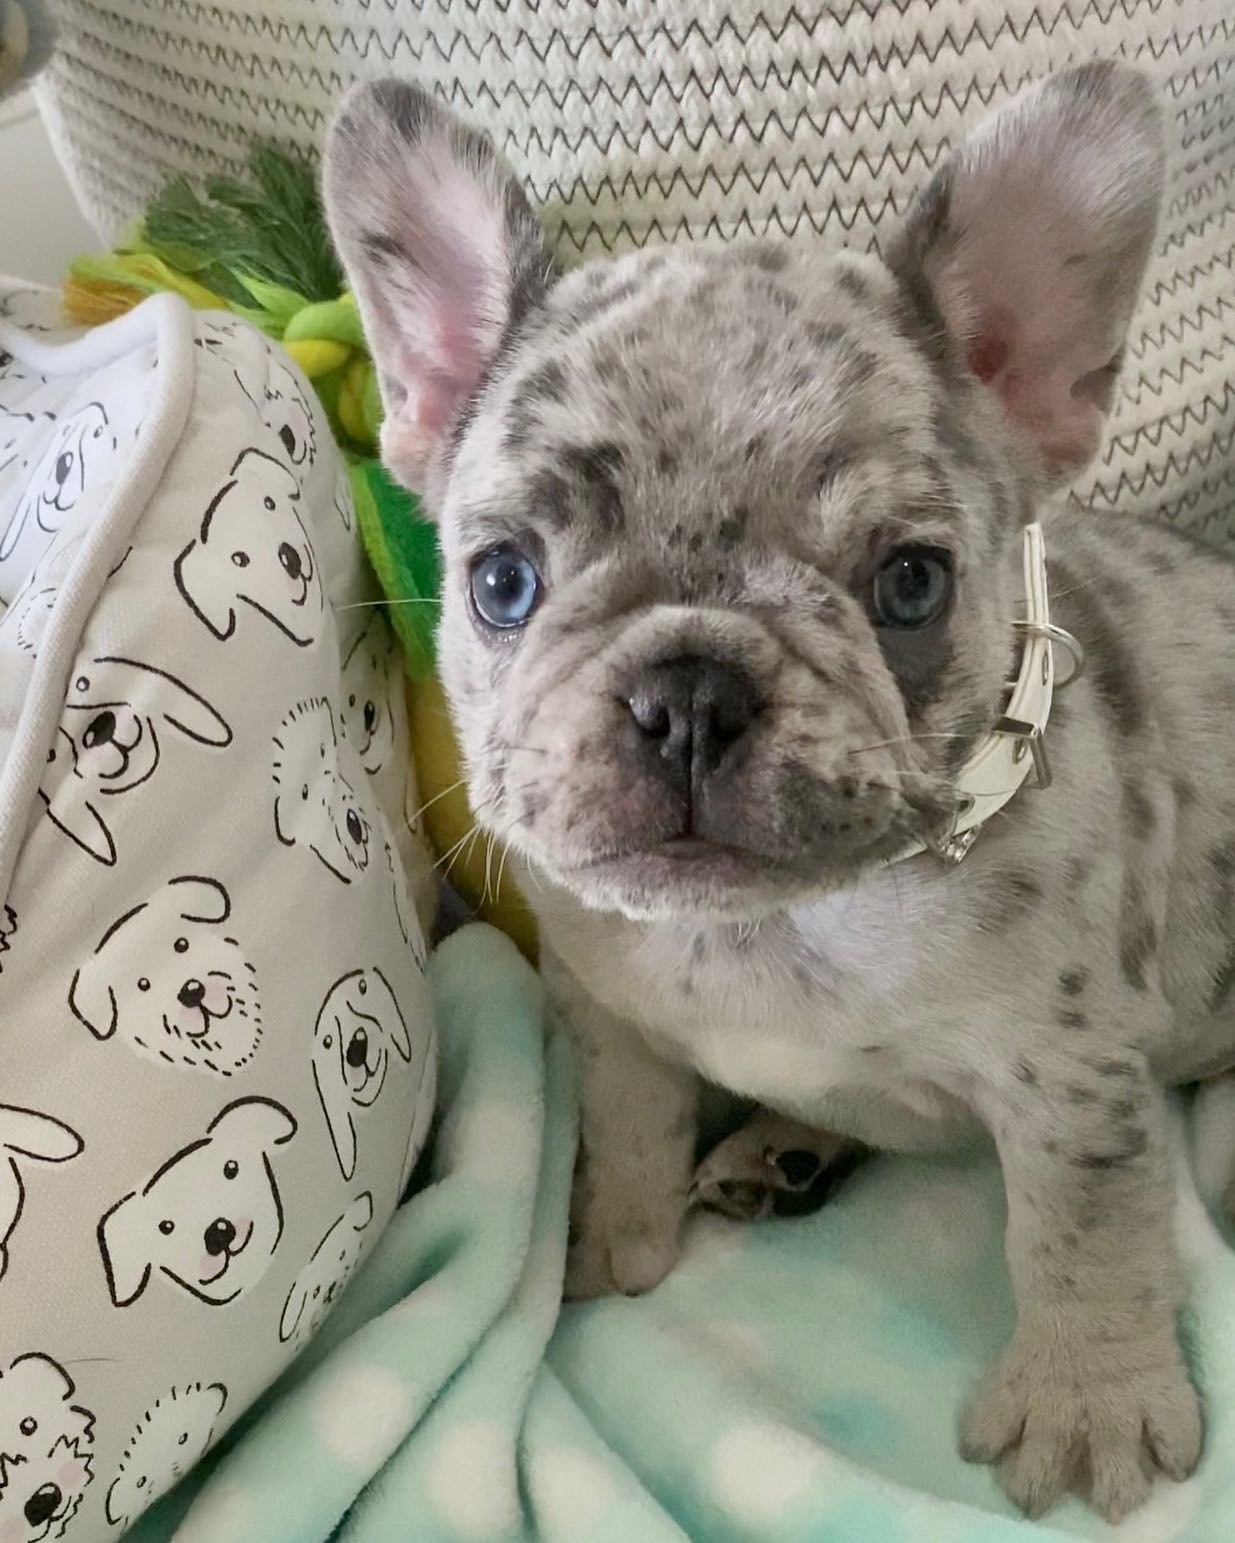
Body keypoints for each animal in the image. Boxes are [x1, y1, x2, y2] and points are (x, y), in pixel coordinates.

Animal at [324, 65, 1235, 1522]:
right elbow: (630, 1130)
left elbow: (1079, 1229)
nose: (688, 690)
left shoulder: (1069, 1078)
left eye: (909, 583)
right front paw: (608, 1239)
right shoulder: (614, 1024)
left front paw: (1086, 1401)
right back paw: (777, 1150)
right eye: (501, 580)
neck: (767, 926)